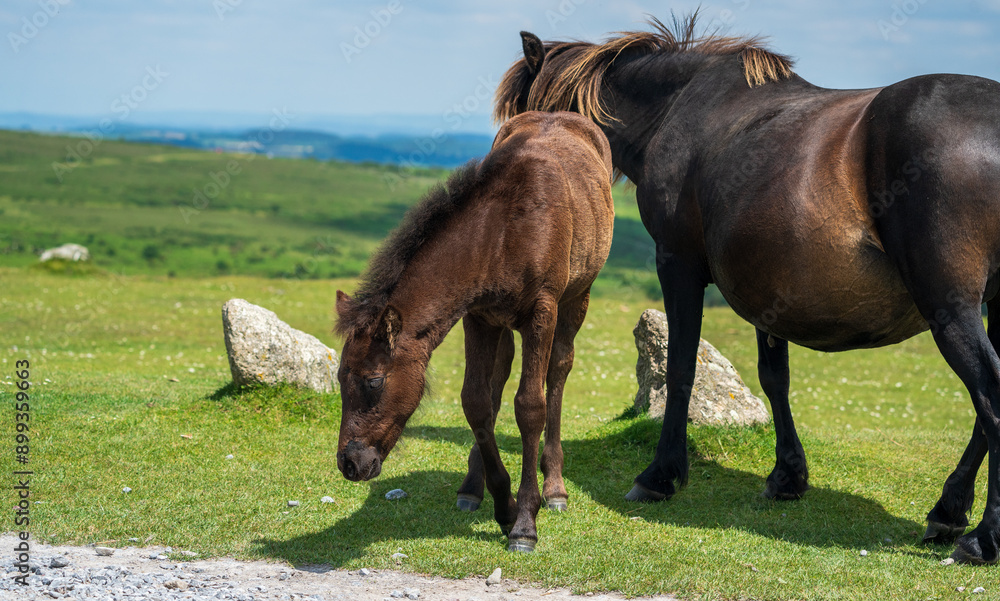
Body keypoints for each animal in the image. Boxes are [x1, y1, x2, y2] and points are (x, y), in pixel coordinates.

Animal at [334, 111, 614, 552]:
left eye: (374, 381)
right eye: (339, 377)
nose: (349, 463)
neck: (502, 234)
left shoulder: (543, 310)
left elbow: (530, 407)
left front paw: (524, 523)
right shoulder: (478, 317)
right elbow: (477, 402)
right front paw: (503, 505)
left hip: (577, 298)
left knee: (558, 370)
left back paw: (554, 488)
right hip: (502, 325)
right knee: (499, 379)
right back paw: (472, 485)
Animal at [494, 16, 1000, 564]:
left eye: (519, 124)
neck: (677, 108)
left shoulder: (678, 264)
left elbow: (682, 367)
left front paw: (661, 475)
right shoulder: (767, 289)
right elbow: (774, 377)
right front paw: (787, 476)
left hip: (950, 306)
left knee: (990, 396)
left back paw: (982, 537)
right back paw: (949, 510)